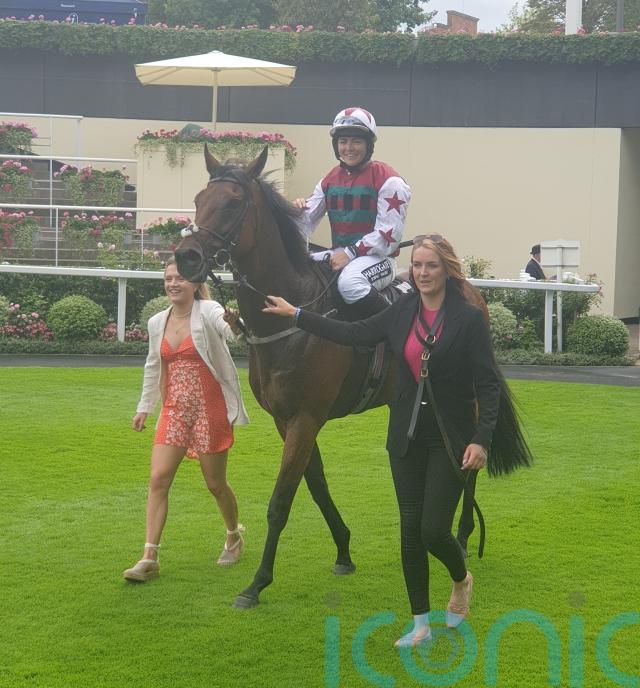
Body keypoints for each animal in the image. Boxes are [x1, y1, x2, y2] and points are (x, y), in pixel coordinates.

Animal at [175, 146, 478, 608]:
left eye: (233, 203)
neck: (292, 315)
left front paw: (257, 583)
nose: (186, 257)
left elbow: (281, 501)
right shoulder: (288, 419)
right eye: (197, 199)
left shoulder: (306, 416)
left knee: (472, 461)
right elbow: (315, 484)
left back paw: (461, 537)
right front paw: (343, 551)